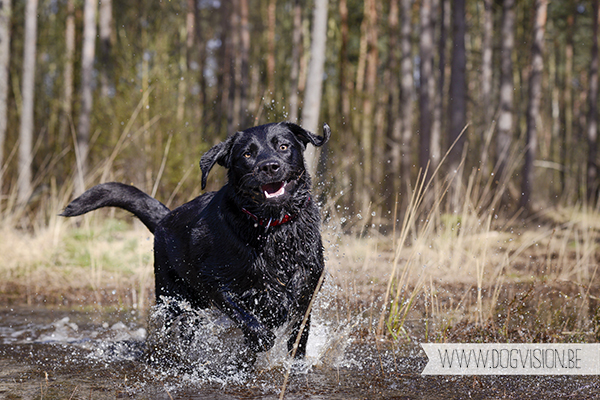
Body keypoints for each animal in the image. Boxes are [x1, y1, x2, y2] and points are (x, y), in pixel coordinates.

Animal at [61, 121, 330, 356]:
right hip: (172, 298)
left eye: (283, 146)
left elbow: (298, 340)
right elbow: (246, 318)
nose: (268, 166)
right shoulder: (216, 284)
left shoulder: (306, 295)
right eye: (247, 154)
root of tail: (164, 218)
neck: (272, 228)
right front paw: (258, 340)